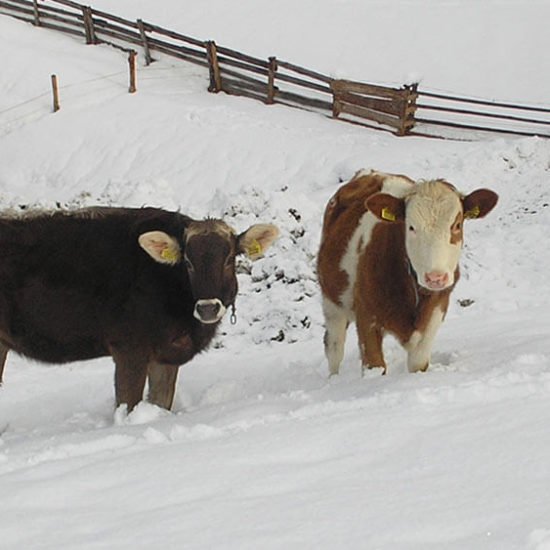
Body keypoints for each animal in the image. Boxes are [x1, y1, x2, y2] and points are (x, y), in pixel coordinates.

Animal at [0, 208, 278, 414]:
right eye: (188, 262)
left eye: (229, 259)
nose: (208, 308)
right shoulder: (129, 347)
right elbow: (128, 403)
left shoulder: (166, 355)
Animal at [314, 170, 500, 378]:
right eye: (411, 227)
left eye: (457, 225)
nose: (435, 278)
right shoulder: (366, 316)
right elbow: (374, 367)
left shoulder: (436, 309)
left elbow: (418, 363)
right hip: (332, 305)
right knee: (334, 348)